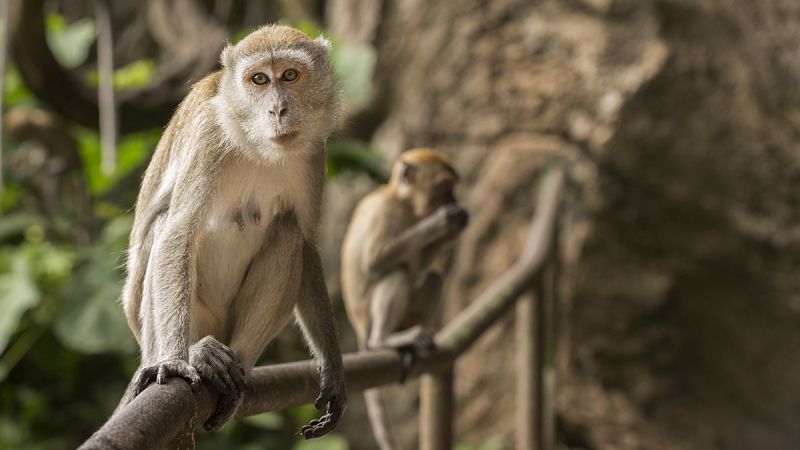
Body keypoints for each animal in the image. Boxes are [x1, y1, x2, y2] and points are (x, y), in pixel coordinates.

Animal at [116, 23, 346, 436]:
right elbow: (178, 232)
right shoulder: (209, 136)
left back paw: (237, 365)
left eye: (290, 75)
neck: (256, 145)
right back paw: (193, 352)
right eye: (259, 79)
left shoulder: (313, 151)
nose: (278, 109)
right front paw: (175, 360)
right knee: (161, 227)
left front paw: (333, 370)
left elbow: (305, 242)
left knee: (287, 232)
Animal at [340, 149, 466, 450]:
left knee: (433, 277)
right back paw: (384, 340)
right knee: (396, 273)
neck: (403, 201)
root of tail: (360, 330)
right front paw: (440, 224)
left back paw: (420, 340)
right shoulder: (384, 211)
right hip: (370, 320)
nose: (454, 201)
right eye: (444, 187)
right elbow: (376, 262)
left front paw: (453, 228)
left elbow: (420, 266)